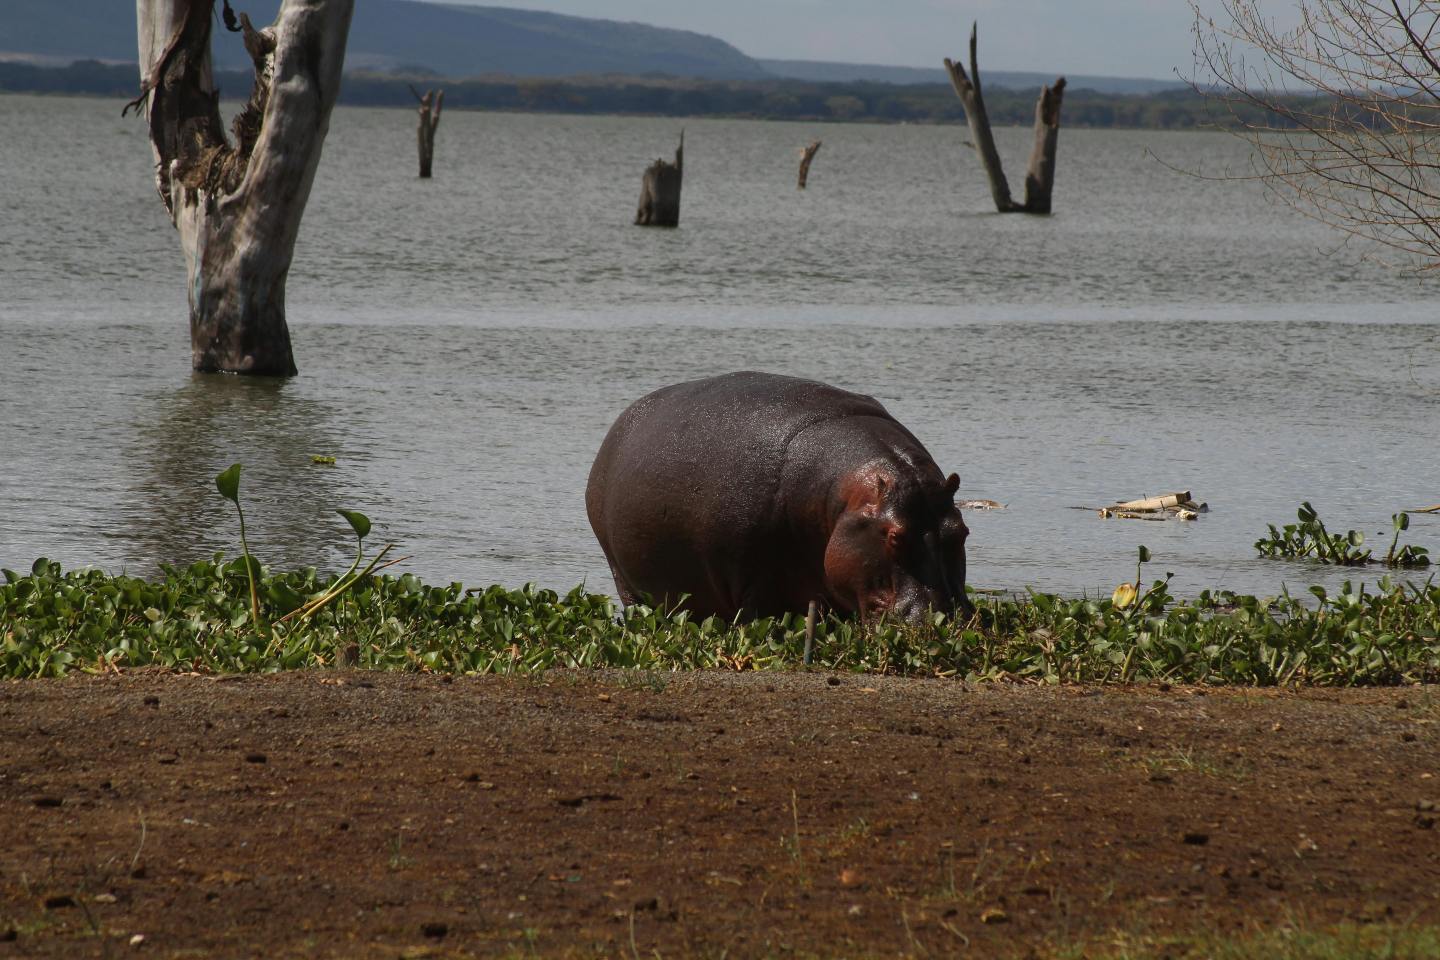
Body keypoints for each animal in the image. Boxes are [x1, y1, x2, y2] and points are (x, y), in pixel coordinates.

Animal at [585, 371, 973, 624]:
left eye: (962, 533)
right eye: (894, 536)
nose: (945, 621)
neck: (841, 494)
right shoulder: (753, 584)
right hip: (624, 578)